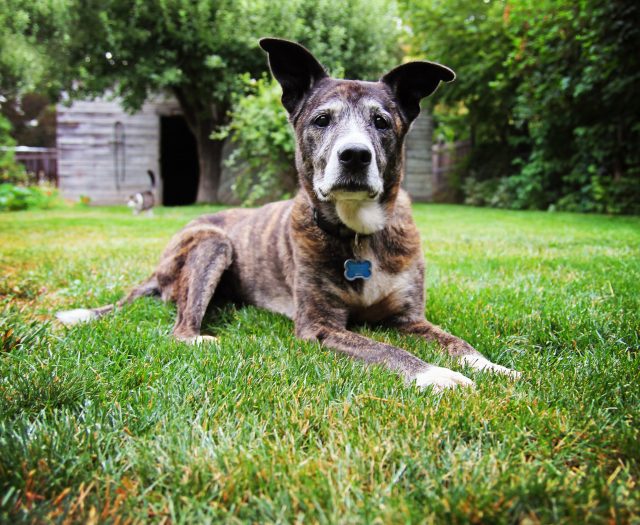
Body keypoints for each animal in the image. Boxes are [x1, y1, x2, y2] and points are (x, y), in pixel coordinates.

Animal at [57, 37, 520, 388]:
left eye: (382, 122)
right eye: (321, 120)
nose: (355, 155)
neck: (358, 232)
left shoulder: (410, 317)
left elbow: (458, 342)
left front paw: (492, 366)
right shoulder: (319, 325)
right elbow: (385, 348)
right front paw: (434, 376)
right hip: (214, 244)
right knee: (179, 328)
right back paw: (203, 337)